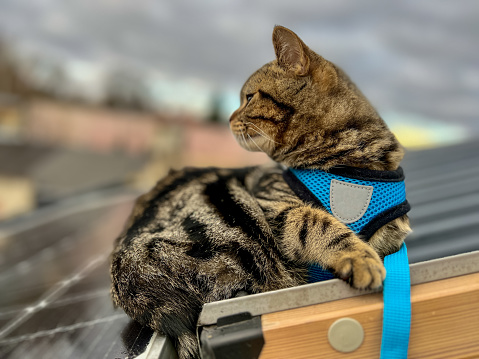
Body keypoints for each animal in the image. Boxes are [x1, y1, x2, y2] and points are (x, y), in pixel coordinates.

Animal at [109, 26, 412, 359]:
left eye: (250, 97)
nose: (229, 118)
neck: (352, 166)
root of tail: (125, 283)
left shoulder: (393, 235)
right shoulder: (277, 206)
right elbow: (321, 225)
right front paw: (360, 258)